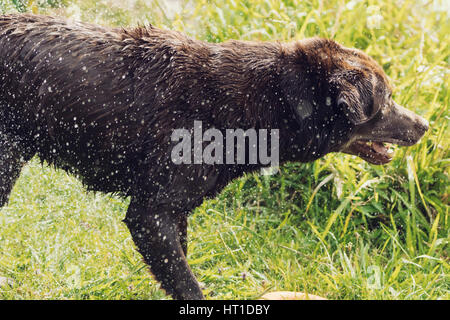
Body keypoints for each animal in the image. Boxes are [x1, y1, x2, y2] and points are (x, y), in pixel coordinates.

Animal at [0, 14, 428, 300]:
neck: (268, 101)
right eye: (387, 99)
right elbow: (188, 284)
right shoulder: (150, 214)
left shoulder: (175, 215)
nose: (425, 124)